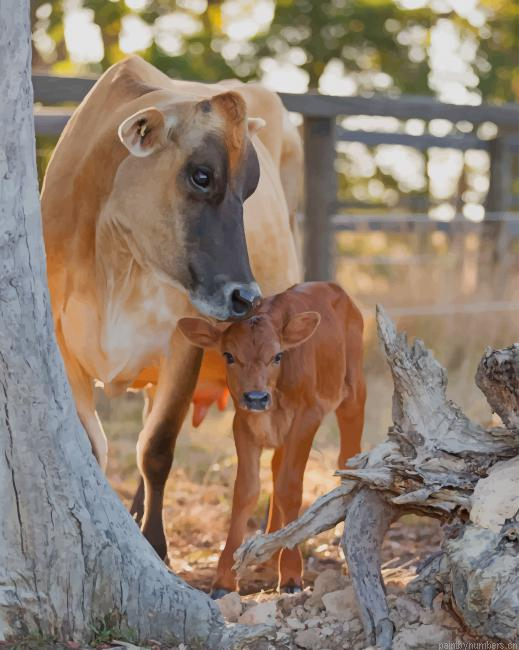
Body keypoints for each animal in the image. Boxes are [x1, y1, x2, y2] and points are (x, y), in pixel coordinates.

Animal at [41, 55, 301, 559]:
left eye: (251, 188)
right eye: (202, 175)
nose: (246, 297)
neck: (115, 261)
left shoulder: (184, 341)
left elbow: (157, 448)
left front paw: (156, 546)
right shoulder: (62, 345)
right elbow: (93, 445)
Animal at [178, 281, 366, 596]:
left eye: (277, 356)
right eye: (228, 355)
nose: (256, 396)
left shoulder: (307, 417)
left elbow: (290, 487)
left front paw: (290, 574)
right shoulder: (243, 423)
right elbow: (246, 491)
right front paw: (224, 579)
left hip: (353, 394)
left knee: (347, 458)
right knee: (277, 468)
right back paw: (268, 555)